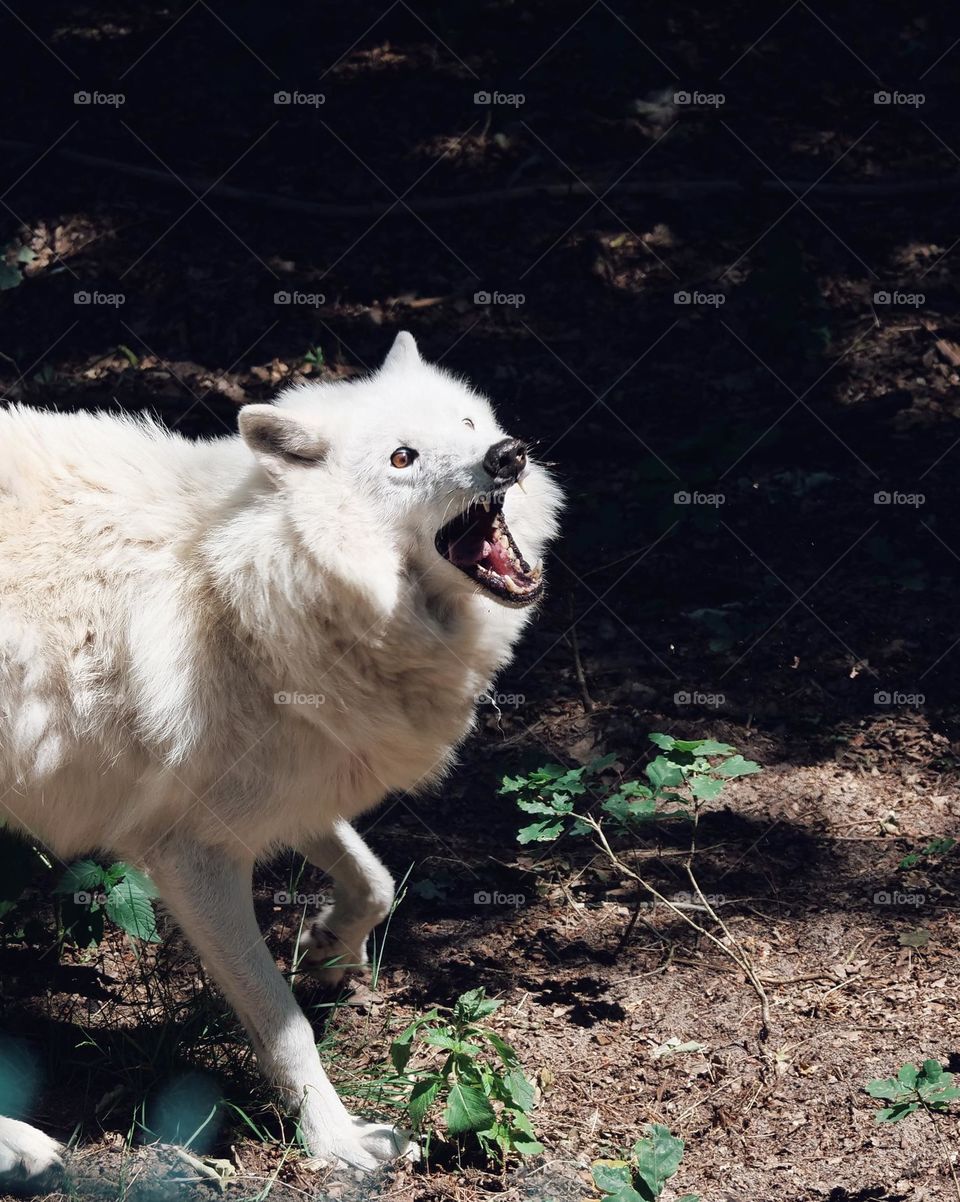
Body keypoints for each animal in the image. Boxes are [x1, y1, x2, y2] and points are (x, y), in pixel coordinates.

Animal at [0, 331, 562, 1182]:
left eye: (467, 423)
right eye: (402, 458)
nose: (506, 456)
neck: (252, 589)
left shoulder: (293, 787)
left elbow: (375, 881)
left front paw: (330, 948)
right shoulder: (189, 854)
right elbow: (283, 1023)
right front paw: (338, 1143)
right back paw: (23, 1147)